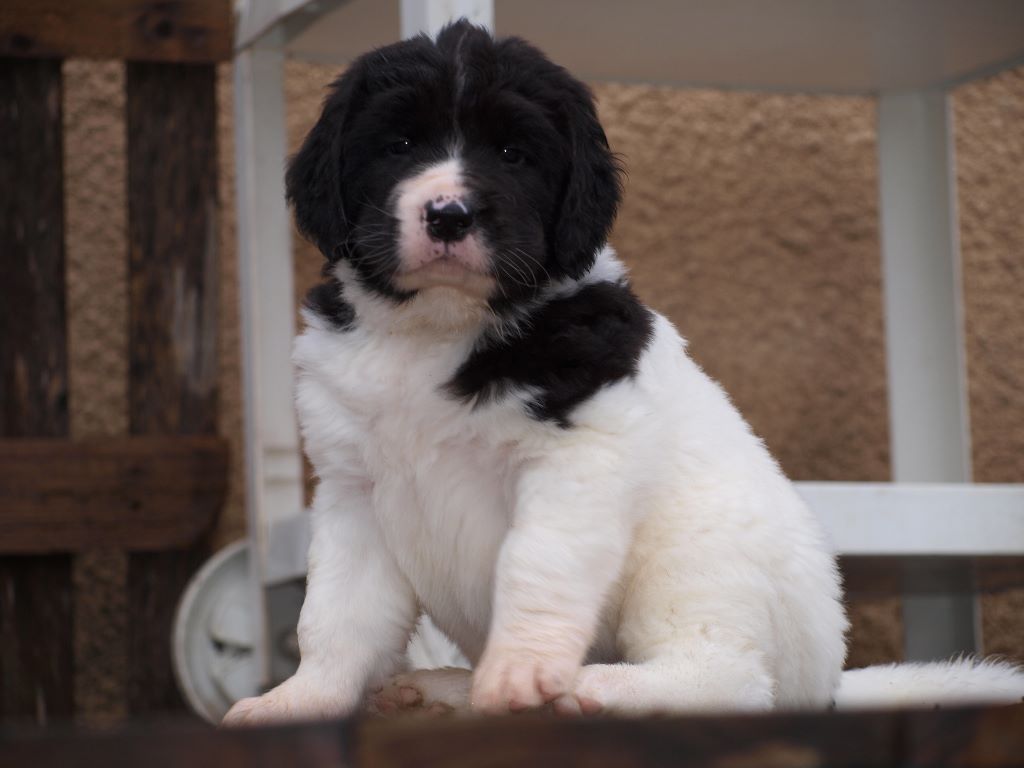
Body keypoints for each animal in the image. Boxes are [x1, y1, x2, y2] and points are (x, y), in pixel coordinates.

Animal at [224, 21, 1023, 724]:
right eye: (399, 145)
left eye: (513, 152)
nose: (449, 214)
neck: (436, 330)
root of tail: (828, 686)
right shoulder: (354, 490)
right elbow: (334, 616)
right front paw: (298, 704)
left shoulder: (575, 460)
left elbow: (534, 565)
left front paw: (522, 671)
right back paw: (449, 691)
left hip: (695, 565)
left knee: (731, 679)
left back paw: (594, 688)